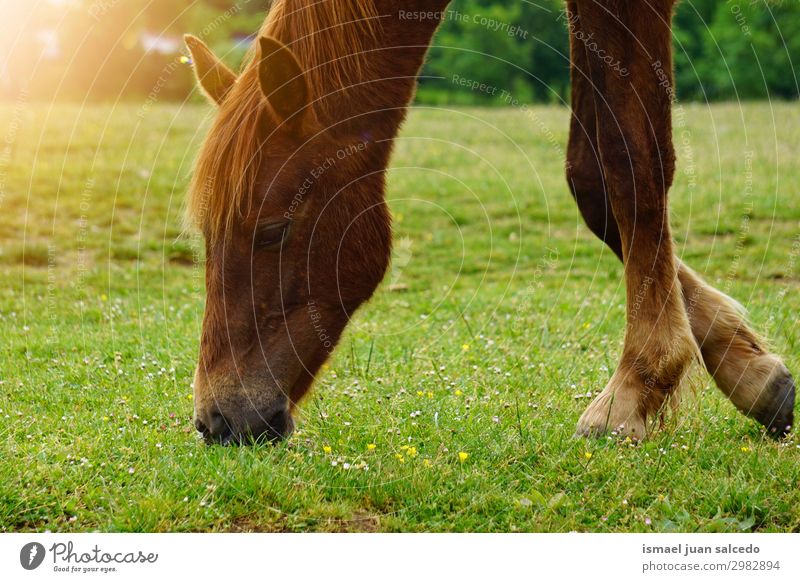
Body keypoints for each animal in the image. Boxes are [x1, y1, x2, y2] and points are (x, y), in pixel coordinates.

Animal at [186, 1, 792, 448]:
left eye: (272, 230)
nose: (216, 420)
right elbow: (594, 182)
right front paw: (751, 370)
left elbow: (624, 163)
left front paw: (632, 391)